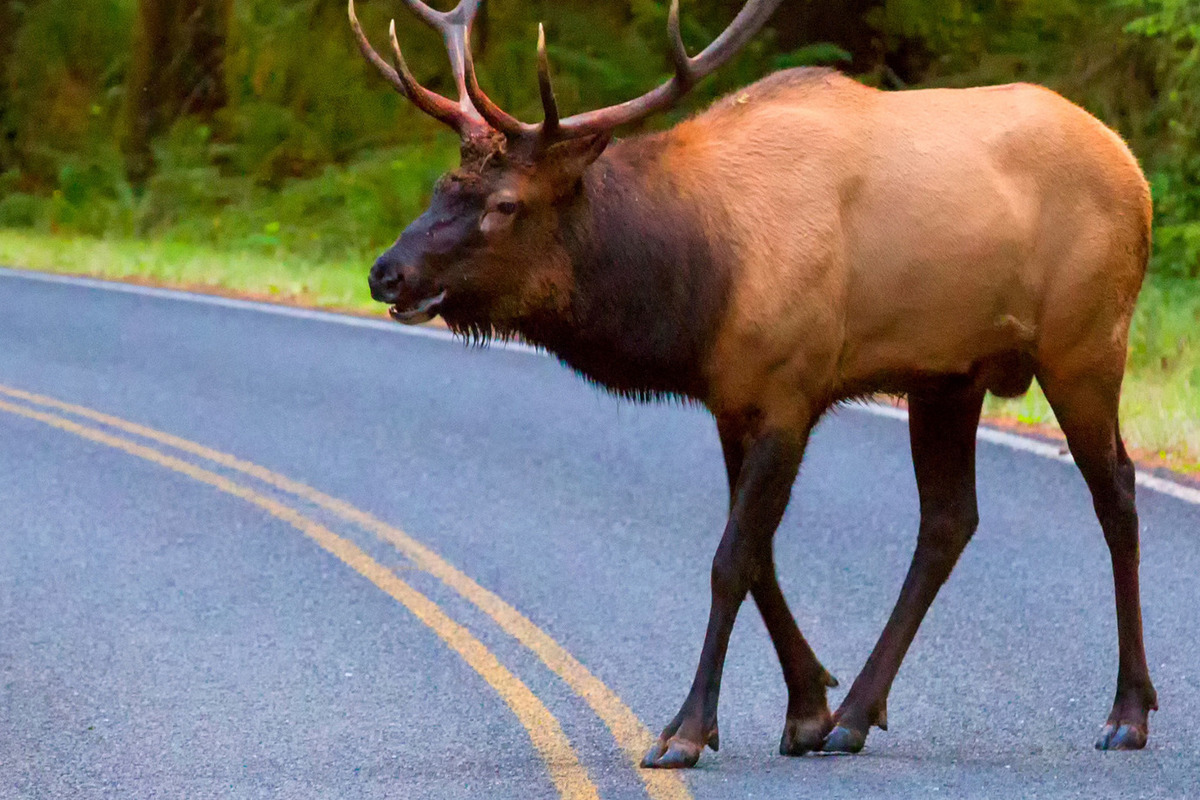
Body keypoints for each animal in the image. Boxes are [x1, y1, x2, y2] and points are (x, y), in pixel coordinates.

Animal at [348, 0, 1152, 767]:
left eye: (505, 204)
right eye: (439, 187)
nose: (387, 272)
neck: (694, 287)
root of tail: (1133, 169)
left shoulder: (788, 392)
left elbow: (731, 559)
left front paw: (688, 731)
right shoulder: (732, 402)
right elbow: (760, 555)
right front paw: (809, 707)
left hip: (1085, 343)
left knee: (1115, 492)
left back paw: (1128, 713)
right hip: (948, 375)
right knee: (949, 520)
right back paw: (855, 715)